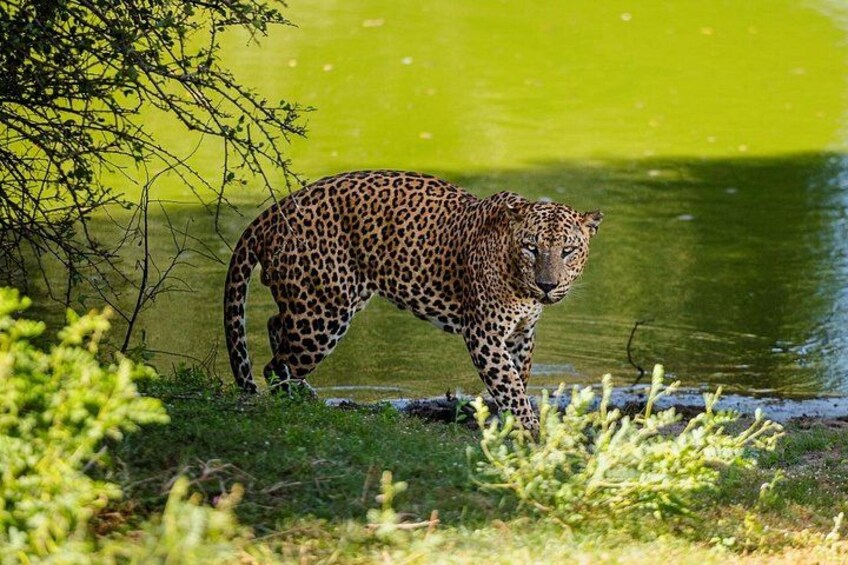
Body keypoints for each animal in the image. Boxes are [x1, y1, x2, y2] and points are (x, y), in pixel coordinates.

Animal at [223, 170, 602, 432]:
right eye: (531, 247)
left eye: (568, 250)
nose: (547, 285)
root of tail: (275, 210)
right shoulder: (485, 336)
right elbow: (510, 386)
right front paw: (532, 432)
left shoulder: (522, 334)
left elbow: (518, 380)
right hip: (323, 313)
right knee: (275, 365)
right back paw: (295, 400)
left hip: (319, 302)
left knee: (276, 326)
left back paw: (304, 392)